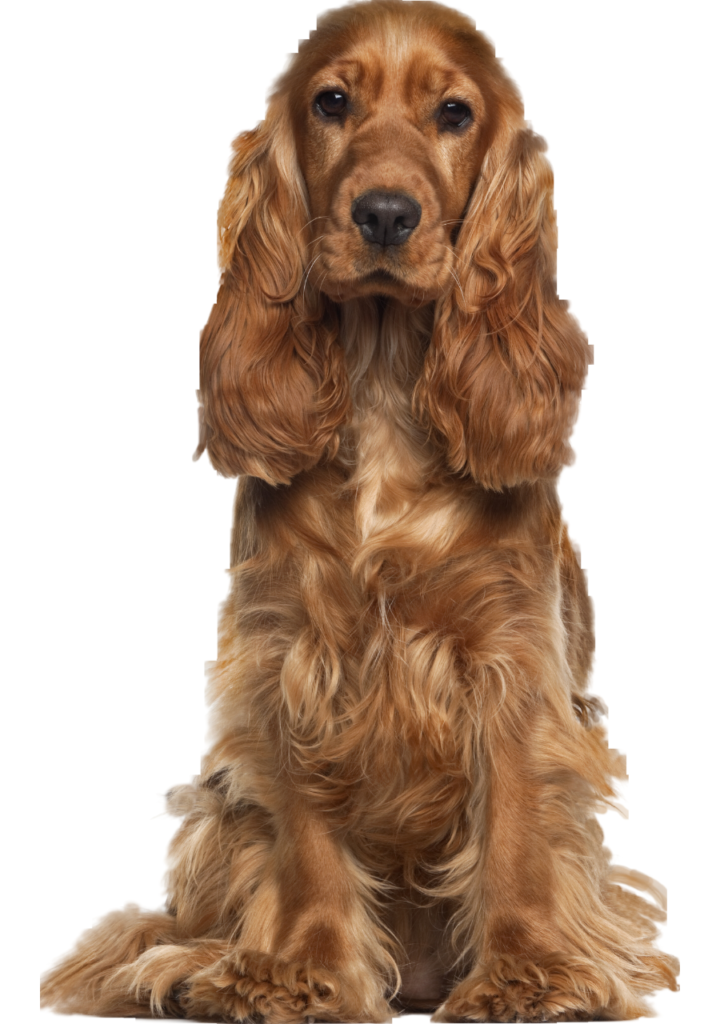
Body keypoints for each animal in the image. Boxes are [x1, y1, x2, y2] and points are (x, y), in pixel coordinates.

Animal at [42, 0, 680, 1019]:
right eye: (332, 102)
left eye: (454, 114)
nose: (384, 213)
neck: (383, 389)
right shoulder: (289, 653)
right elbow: (304, 836)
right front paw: (298, 972)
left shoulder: (509, 658)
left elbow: (517, 829)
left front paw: (528, 976)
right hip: (219, 807)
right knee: (192, 912)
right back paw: (190, 967)